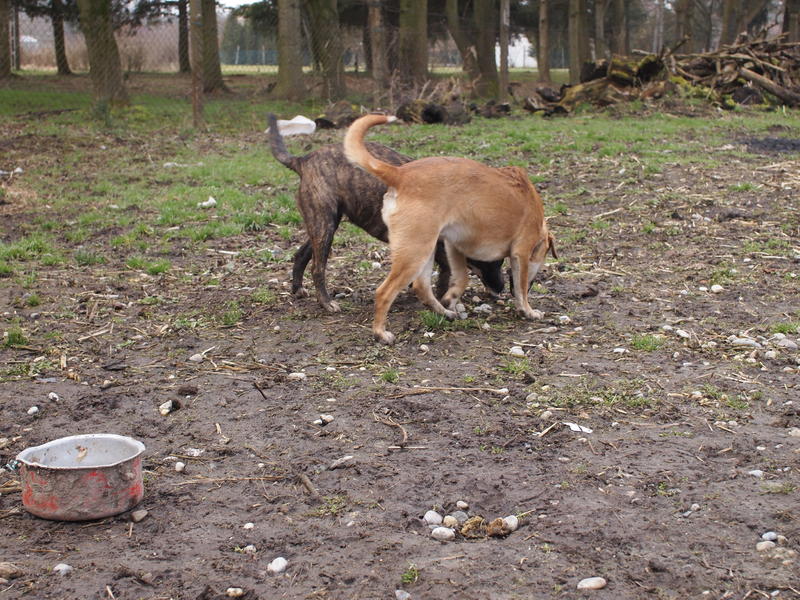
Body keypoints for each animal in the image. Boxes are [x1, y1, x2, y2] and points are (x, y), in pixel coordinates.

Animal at [272, 113, 504, 314]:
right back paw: (326, 302)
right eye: (492, 260)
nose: (502, 289)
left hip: (325, 224)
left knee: (301, 254)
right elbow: (444, 273)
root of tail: (303, 160)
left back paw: (298, 289)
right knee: (317, 267)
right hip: (324, 226)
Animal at [344, 114, 556, 344]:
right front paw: (528, 310)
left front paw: (451, 300)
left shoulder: (453, 246)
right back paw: (380, 332)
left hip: (425, 250)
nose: (500, 290)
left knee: (421, 287)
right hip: (414, 252)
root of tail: (400, 174)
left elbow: (461, 278)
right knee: (384, 292)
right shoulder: (521, 253)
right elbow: (521, 288)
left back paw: (444, 312)